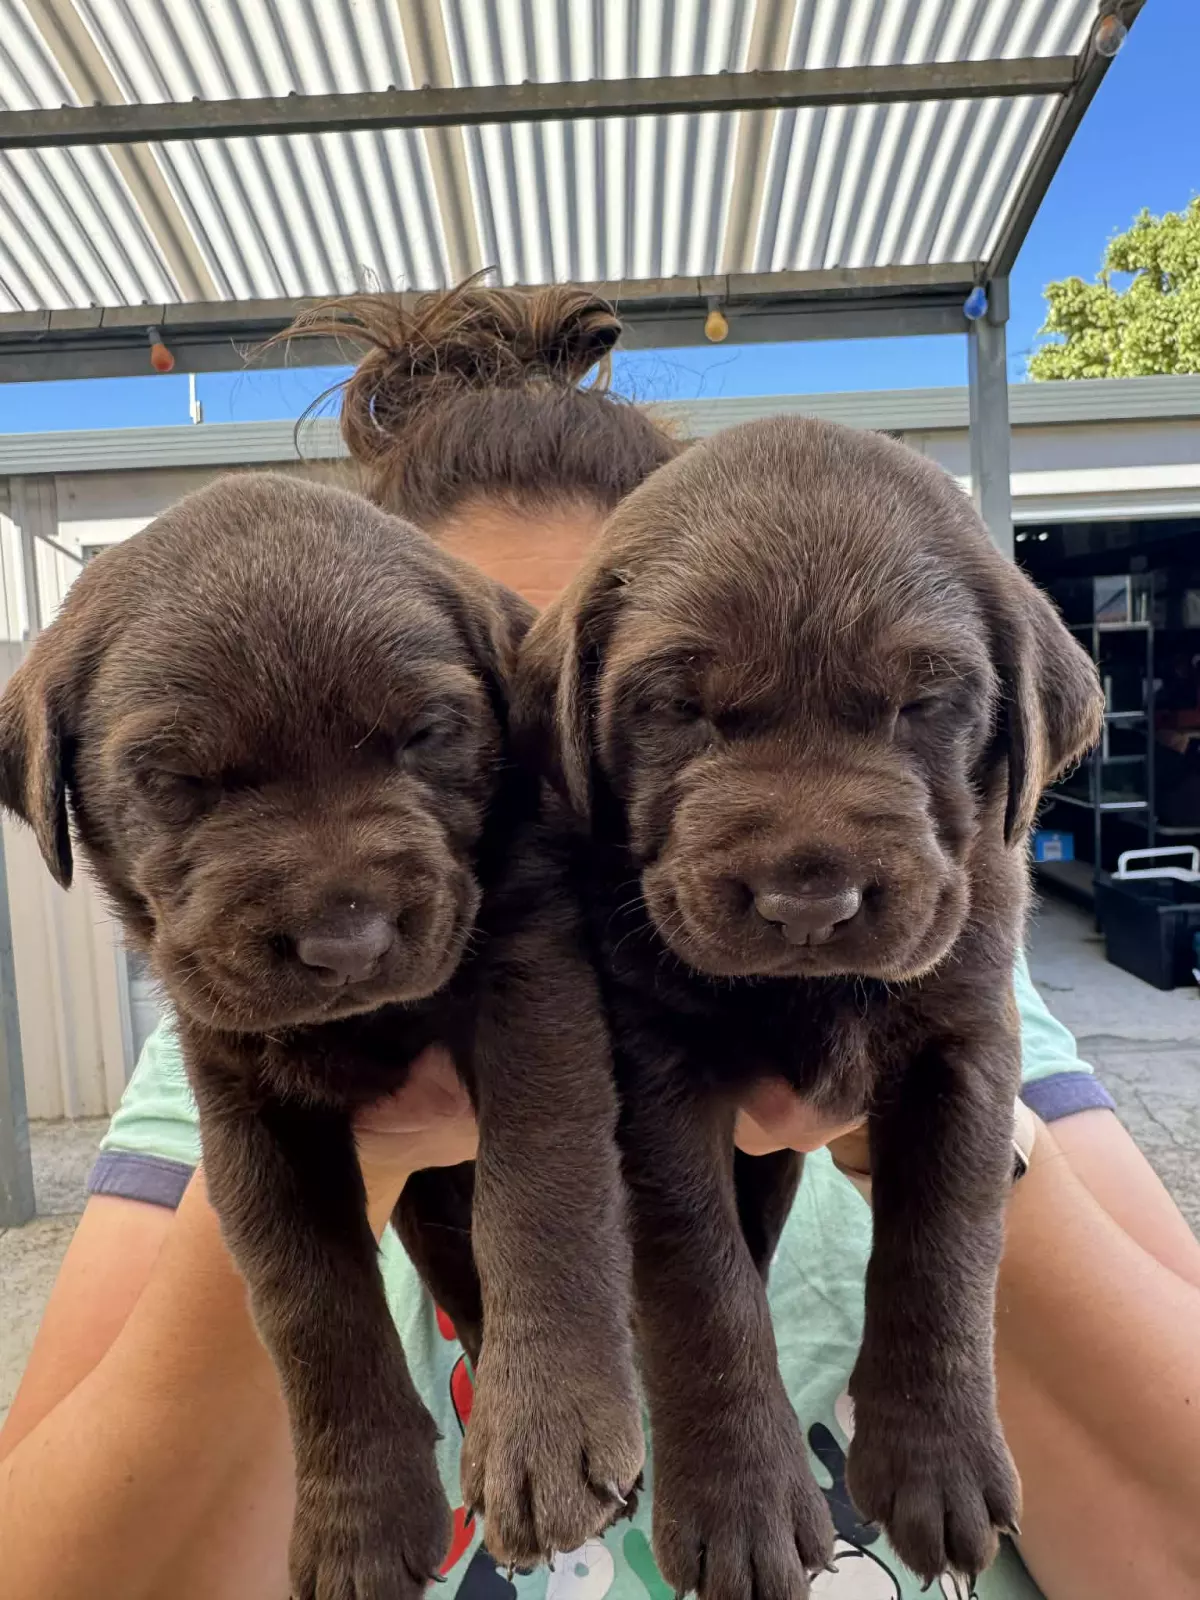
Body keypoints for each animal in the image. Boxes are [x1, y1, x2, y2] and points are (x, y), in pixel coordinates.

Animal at [0, 473, 643, 1598]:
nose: (346, 942)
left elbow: (541, 1193)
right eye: (176, 781)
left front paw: (551, 1426)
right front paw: (360, 1519)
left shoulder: (534, 986)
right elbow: (308, 1300)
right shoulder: (244, 1098)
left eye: (428, 734)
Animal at [514, 417, 1103, 1596]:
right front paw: (741, 1498)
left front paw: (937, 1459)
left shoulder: (968, 1041)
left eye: (922, 704)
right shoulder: (656, 1077)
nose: (808, 901)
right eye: (679, 708)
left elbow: (946, 1245)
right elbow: (702, 1283)